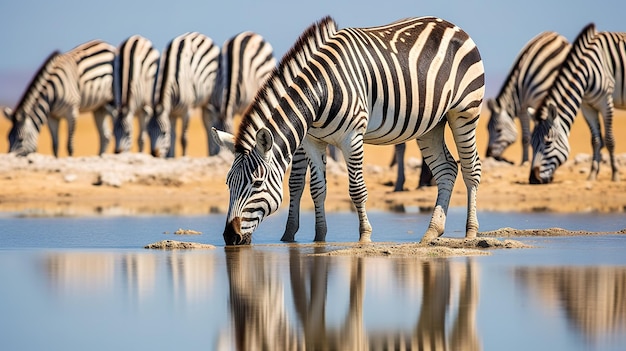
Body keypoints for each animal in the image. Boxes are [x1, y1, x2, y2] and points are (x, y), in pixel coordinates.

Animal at [213, 16, 482, 246]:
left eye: (257, 183)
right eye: (228, 183)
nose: (230, 237)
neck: (319, 93)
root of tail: (451, 25)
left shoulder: (352, 137)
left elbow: (356, 189)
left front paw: (364, 237)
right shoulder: (312, 141)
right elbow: (317, 189)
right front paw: (319, 238)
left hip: (465, 112)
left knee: (471, 168)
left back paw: (470, 233)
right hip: (430, 124)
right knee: (447, 168)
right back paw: (431, 232)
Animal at [482, 31, 572, 164]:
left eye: (498, 130)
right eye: (487, 129)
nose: (488, 154)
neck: (518, 90)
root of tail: (556, 37)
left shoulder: (530, 105)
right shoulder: (525, 108)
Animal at [528, 23, 624, 184]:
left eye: (548, 143)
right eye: (531, 144)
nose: (533, 179)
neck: (588, 71)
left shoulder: (606, 102)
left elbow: (609, 140)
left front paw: (615, 175)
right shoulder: (587, 106)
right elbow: (596, 140)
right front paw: (592, 175)